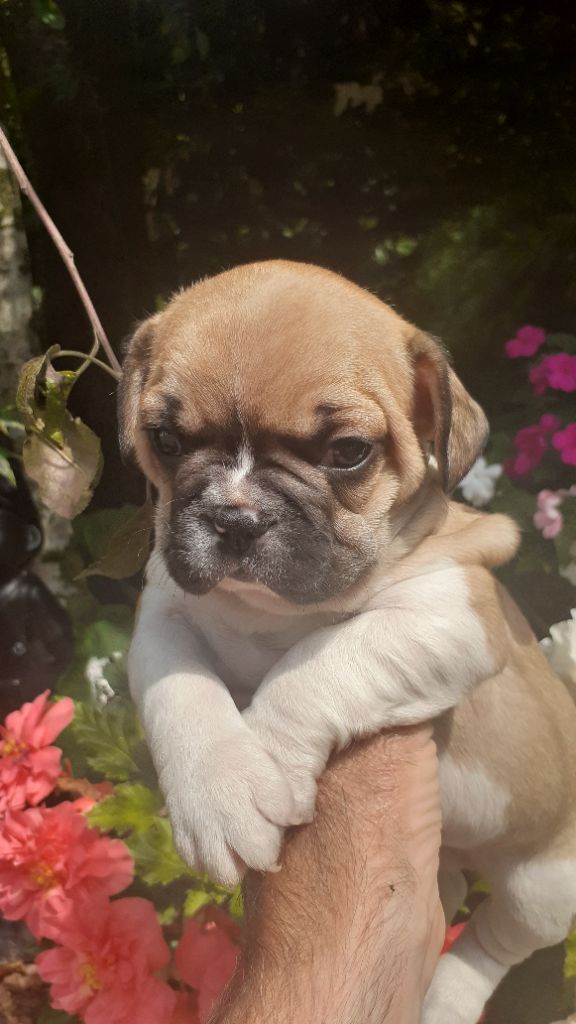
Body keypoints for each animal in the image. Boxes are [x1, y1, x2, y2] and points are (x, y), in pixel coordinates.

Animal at [119, 260, 576, 1024]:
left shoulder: (449, 612)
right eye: (168, 441)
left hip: (542, 887)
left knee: (494, 941)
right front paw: (217, 792)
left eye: (348, 453)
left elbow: (325, 660)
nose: (235, 517)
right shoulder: (165, 611)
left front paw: (268, 755)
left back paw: (447, 999)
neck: (271, 609)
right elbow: (179, 690)